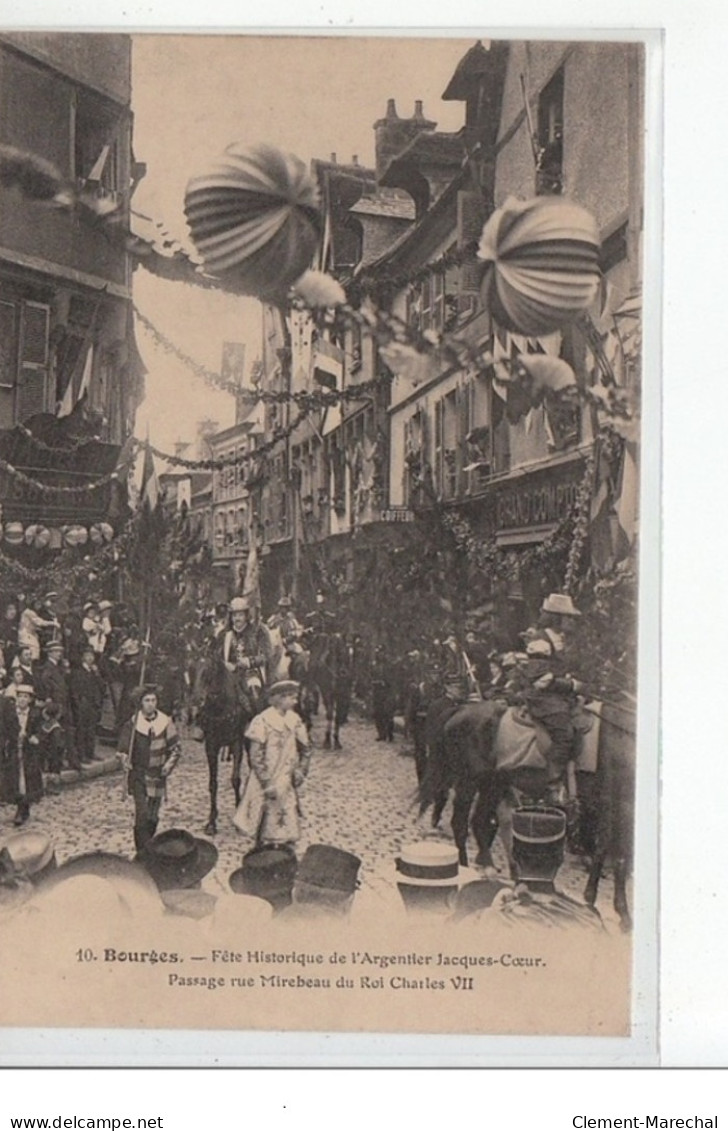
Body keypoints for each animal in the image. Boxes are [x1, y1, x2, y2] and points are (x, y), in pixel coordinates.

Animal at [196, 651, 255, 836]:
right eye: (192, 670)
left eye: (208, 672)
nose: (198, 700)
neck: (220, 708)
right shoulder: (211, 746)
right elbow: (213, 784)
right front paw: (211, 822)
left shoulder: (237, 743)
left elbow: (235, 779)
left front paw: (238, 816)